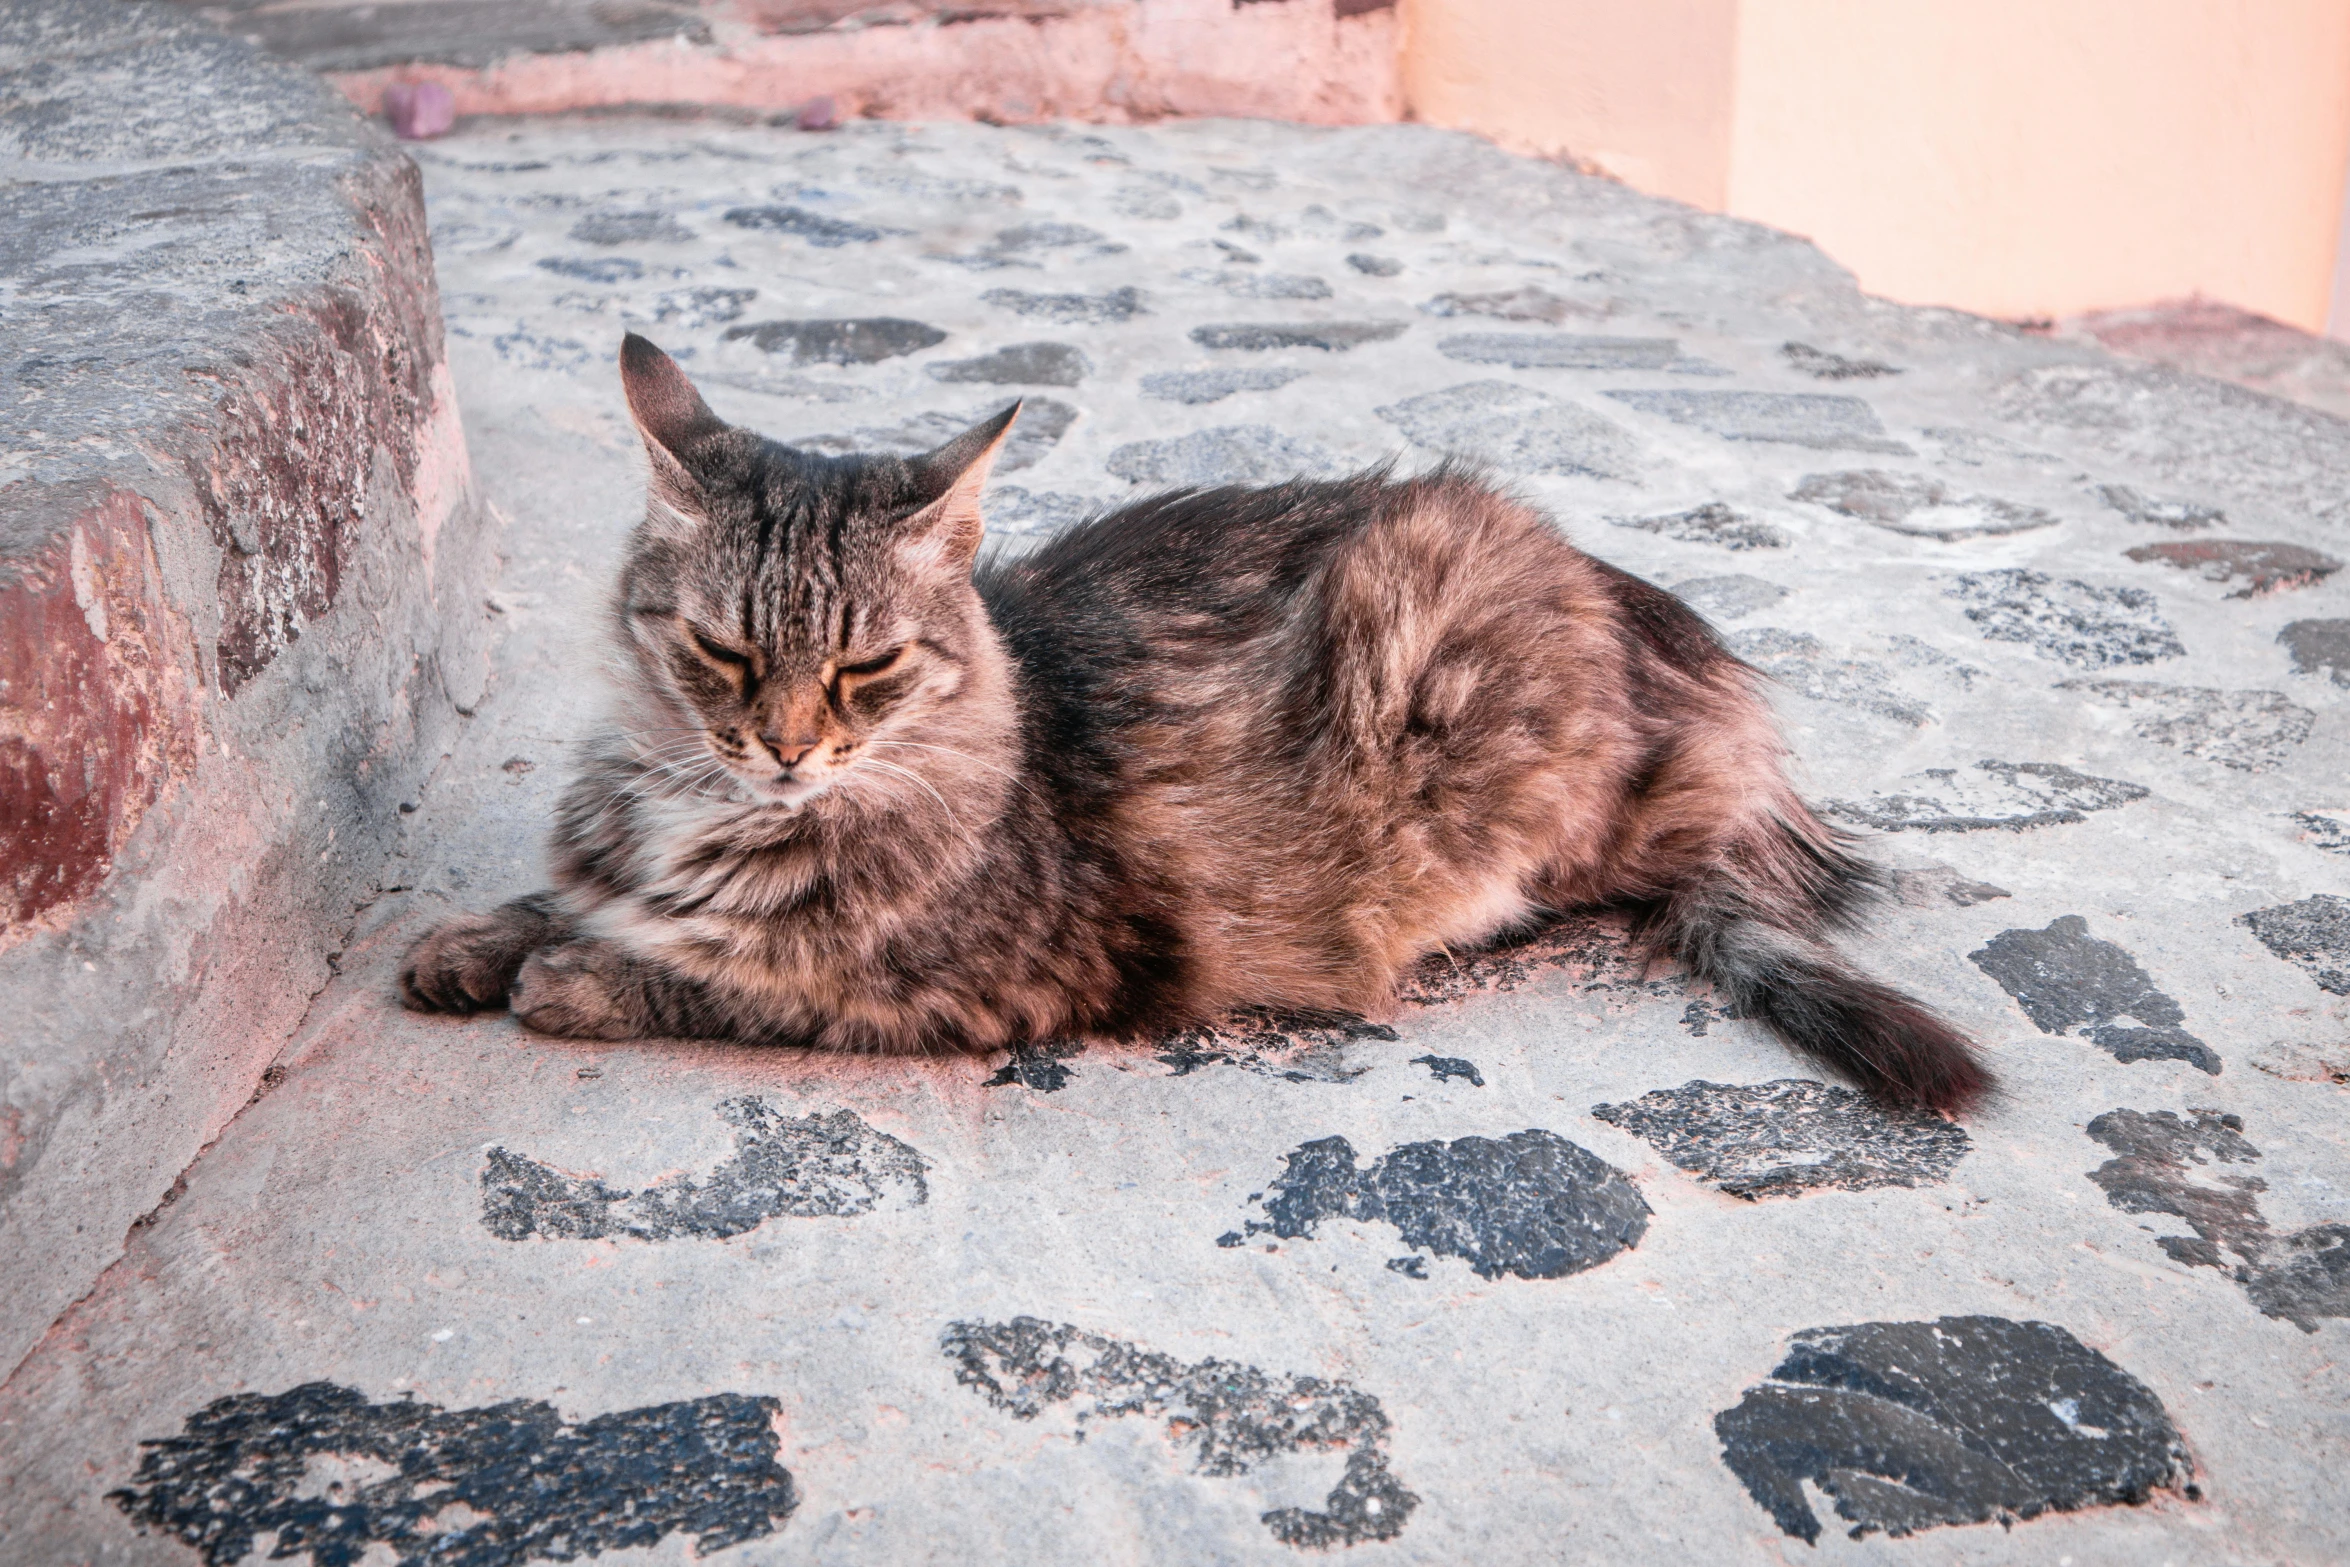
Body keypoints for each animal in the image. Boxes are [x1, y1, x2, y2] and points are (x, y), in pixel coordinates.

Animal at [399, 331, 1983, 1113]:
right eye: (723, 652)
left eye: (865, 669)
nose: (783, 747)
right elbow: (563, 894)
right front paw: (476, 938)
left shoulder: (995, 980)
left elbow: (733, 978)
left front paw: (570, 976)